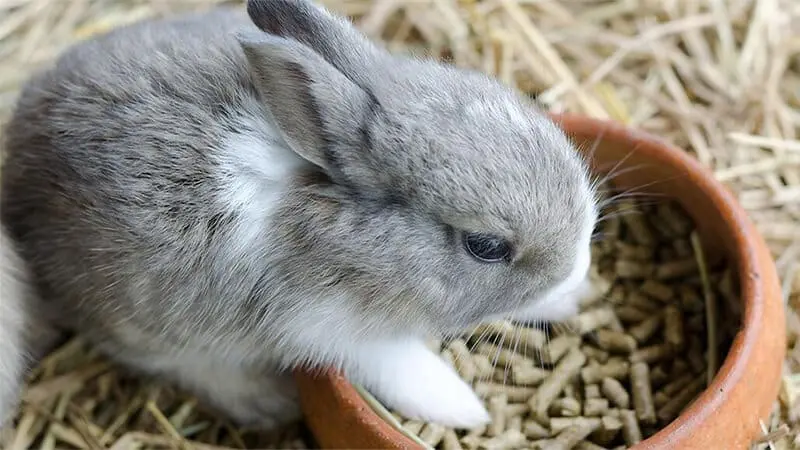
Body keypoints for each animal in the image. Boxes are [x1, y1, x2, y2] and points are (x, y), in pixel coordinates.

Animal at [0, 0, 598, 430]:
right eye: (486, 247)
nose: (577, 269)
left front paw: (569, 298)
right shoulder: (331, 328)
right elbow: (403, 368)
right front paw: (465, 411)